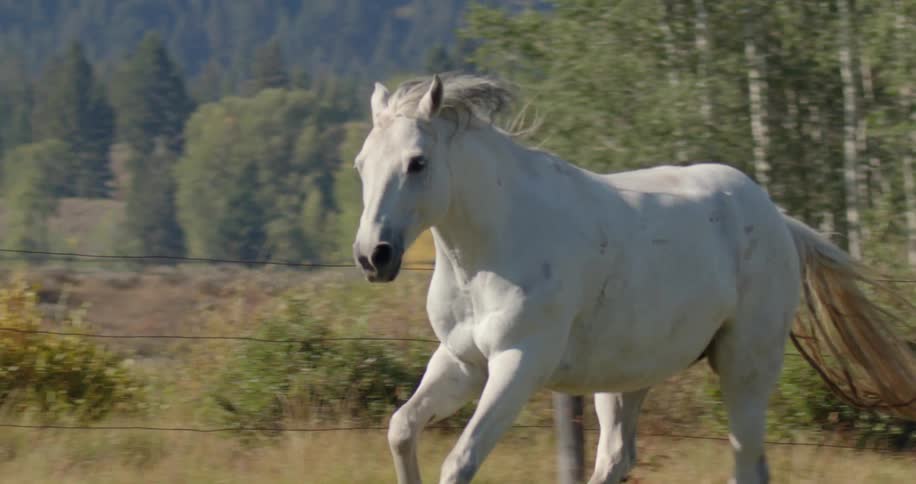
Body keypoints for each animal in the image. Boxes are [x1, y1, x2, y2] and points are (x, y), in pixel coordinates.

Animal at [350, 73, 916, 484]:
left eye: (417, 163)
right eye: (361, 164)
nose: (372, 256)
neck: (496, 244)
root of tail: (777, 218)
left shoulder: (518, 364)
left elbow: (460, 461)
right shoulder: (463, 362)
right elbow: (401, 428)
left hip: (745, 368)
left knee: (747, 466)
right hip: (626, 375)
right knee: (617, 459)